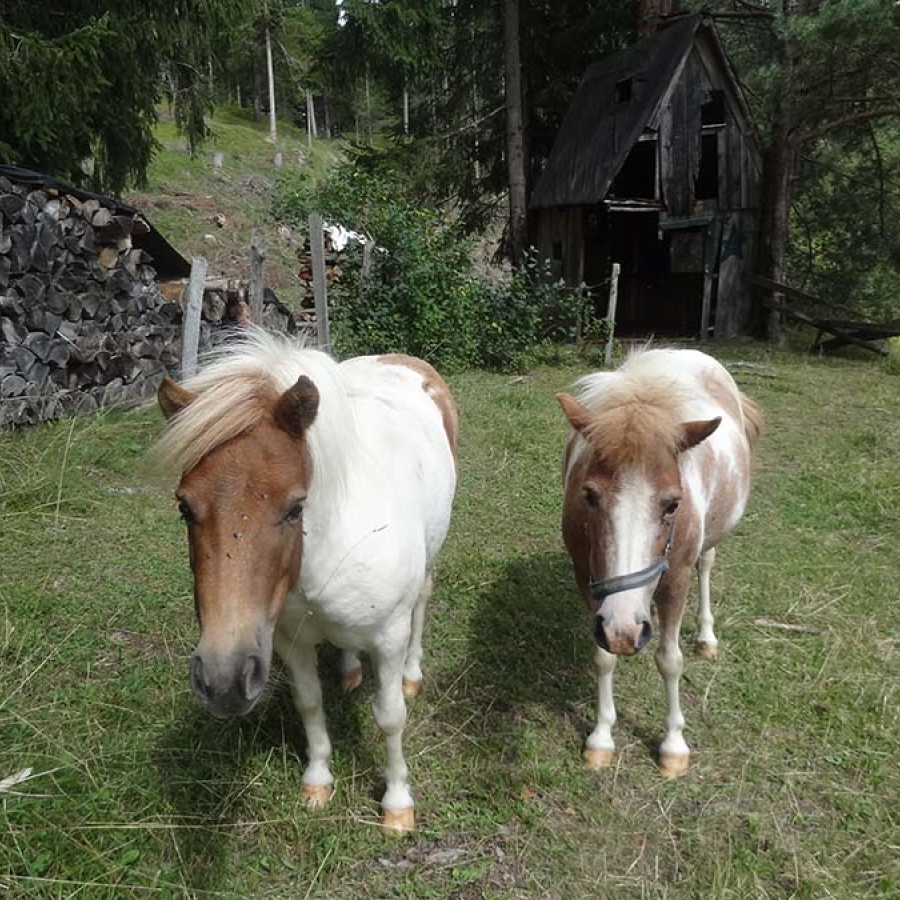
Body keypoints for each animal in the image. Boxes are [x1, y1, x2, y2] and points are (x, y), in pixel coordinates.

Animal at [152, 328, 458, 828]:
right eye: (184, 507)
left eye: (295, 508)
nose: (223, 681)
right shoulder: (288, 640)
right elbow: (309, 703)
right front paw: (317, 781)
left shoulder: (388, 637)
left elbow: (390, 716)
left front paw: (397, 804)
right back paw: (350, 669)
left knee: (422, 602)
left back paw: (412, 674)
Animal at [556, 348, 760, 776]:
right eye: (589, 495)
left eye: (672, 505)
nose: (623, 628)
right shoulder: (587, 579)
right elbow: (603, 656)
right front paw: (601, 738)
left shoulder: (676, 579)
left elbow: (669, 660)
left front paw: (673, 745)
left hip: (707, 545)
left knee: (707, 565)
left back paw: (706, 637)